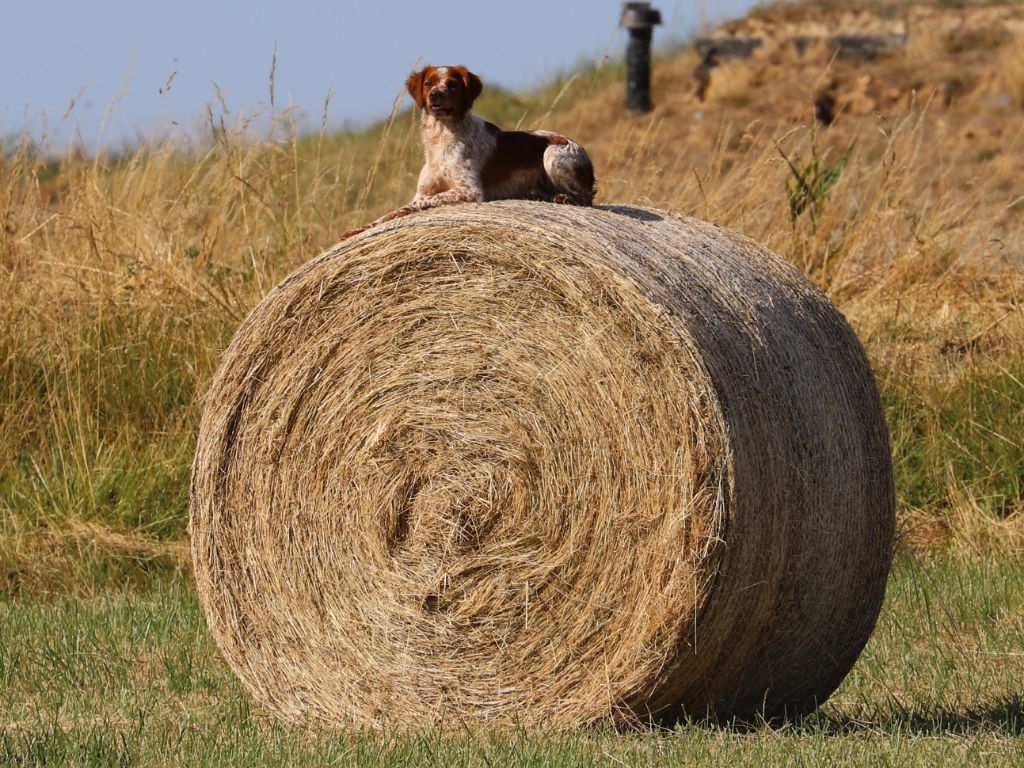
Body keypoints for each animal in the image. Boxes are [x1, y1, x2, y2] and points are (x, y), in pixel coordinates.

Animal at [348, 66, 598, 237]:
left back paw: (564, 197)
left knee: (587, 196)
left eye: (452, 85)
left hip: (552, 154)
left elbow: (422, 203)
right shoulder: (422, 191)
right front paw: (358, 229)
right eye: (428, 83)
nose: (435, 95)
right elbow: (394, 211)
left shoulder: (469, 190)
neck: (442, 138)